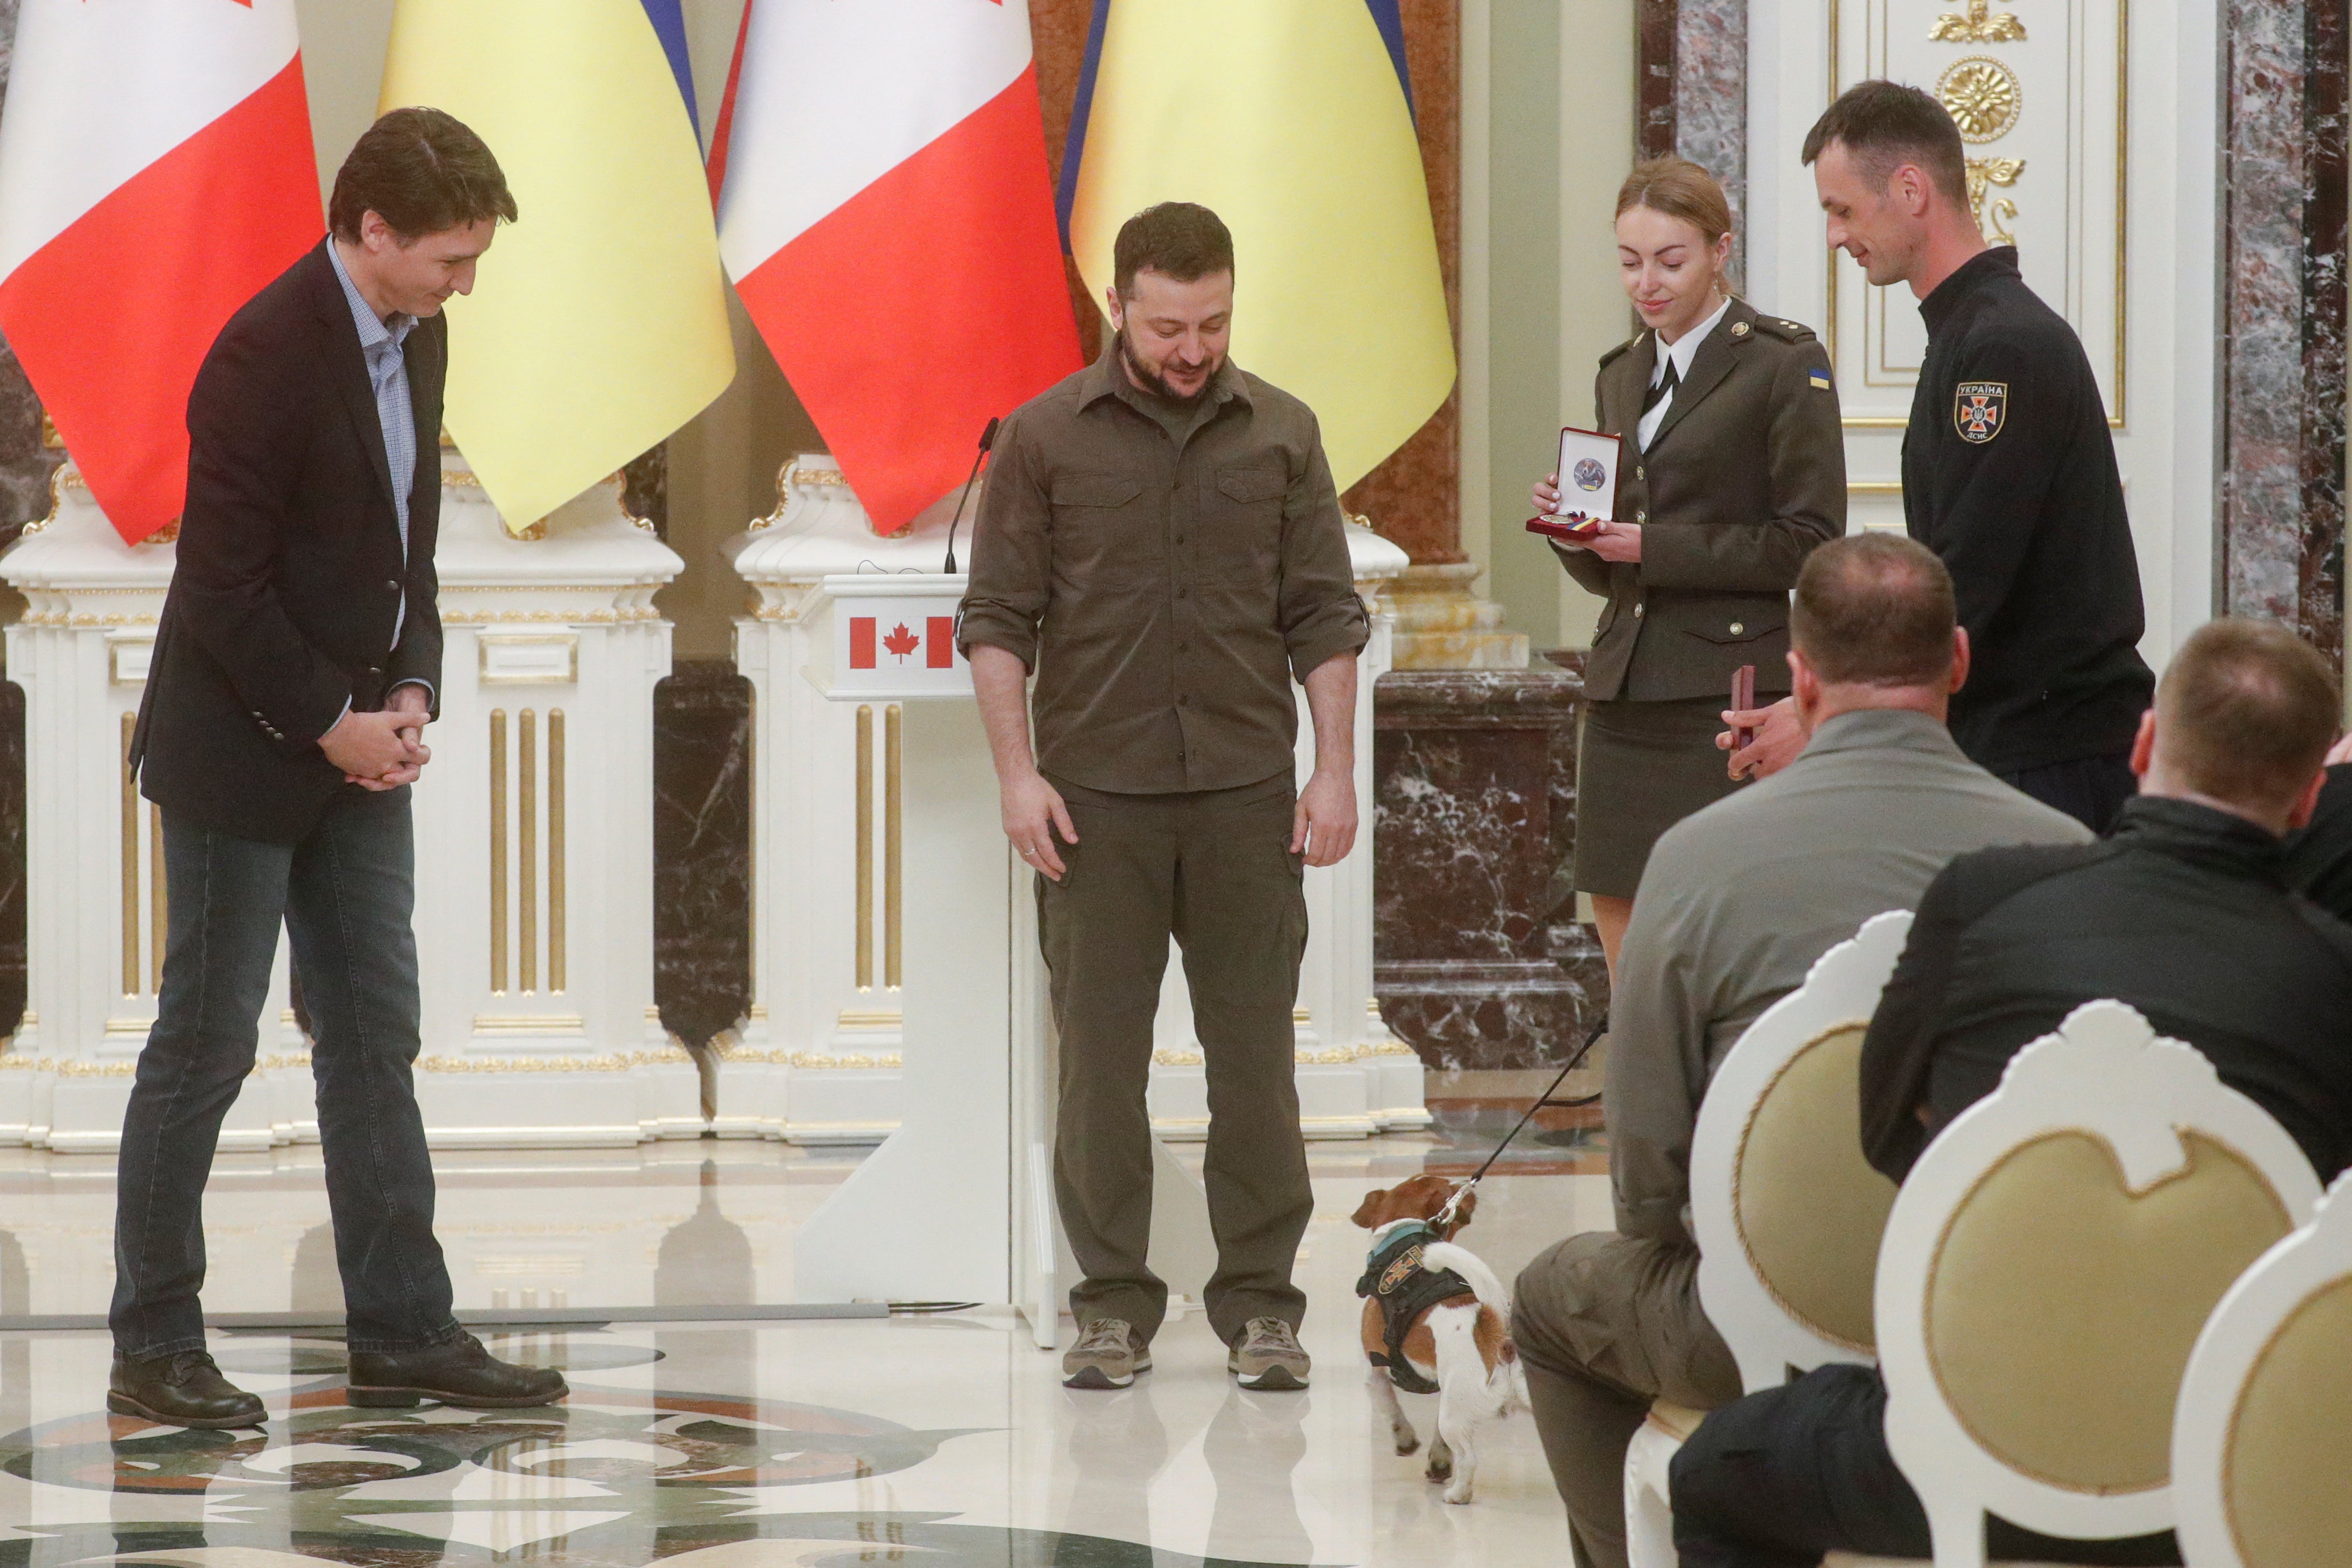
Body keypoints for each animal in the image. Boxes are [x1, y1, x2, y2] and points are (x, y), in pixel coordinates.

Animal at [1355, 1175, 1533, 1504]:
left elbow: (1391, 1411)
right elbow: (1440, 1444)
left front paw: (1405, 1442)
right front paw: (1438, 1464)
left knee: (1468, 1460)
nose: (1469, 1184)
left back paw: (1457, 1495)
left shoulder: (1373, 1372)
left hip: (1454, 1415)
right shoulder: (1444, 1387)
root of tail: (1499, 1332)